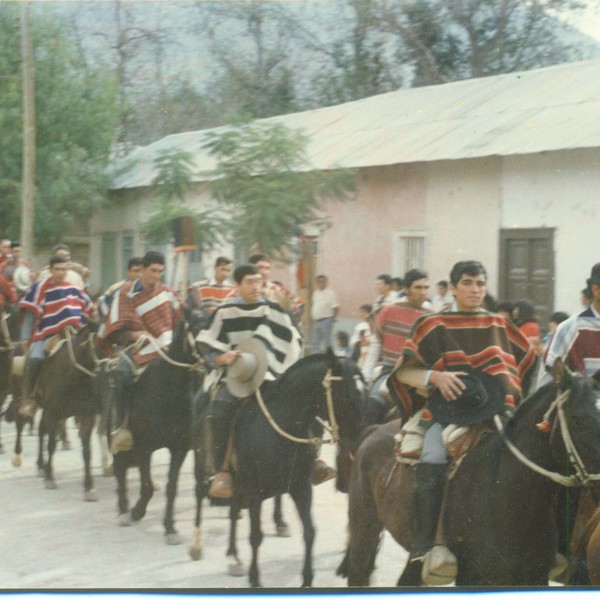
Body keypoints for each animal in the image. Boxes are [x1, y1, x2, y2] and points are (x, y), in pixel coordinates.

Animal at [107, 308, 209, 548]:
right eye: (197, 327)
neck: (167, 391)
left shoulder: (179, 449)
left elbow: (171, 487)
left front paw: (170, 528)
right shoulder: (145, 447)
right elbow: (145, 486)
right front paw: (137, 511)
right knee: (119, 466)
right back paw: (123, 510)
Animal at [190, 350, 366, 588]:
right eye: (349, 394)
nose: (359, 442)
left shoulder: (300, 487)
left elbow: (310, 532)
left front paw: (307, 579)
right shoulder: (254, 492)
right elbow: (256, 536)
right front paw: (255, 579)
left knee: (233, 509)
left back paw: (234, 556)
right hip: (202, 464)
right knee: (200, 494)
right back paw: (197, 545)